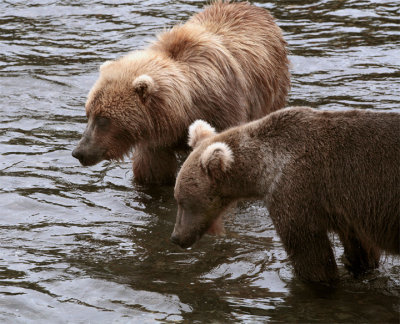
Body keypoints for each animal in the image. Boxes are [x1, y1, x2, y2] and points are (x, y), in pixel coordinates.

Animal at [72, 0, 290, 184]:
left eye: (103, 119)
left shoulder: (224, 111)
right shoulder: (155, 142)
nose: (79, 152)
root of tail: (254, 8)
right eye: (88, 114)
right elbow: (152, 173)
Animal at [172, 107, 400, 284]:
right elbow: (361, 250)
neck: (264, 167)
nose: (176, 237)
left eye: (183, 201)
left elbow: (310, 254)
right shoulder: (347, 213)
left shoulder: (293, 191)